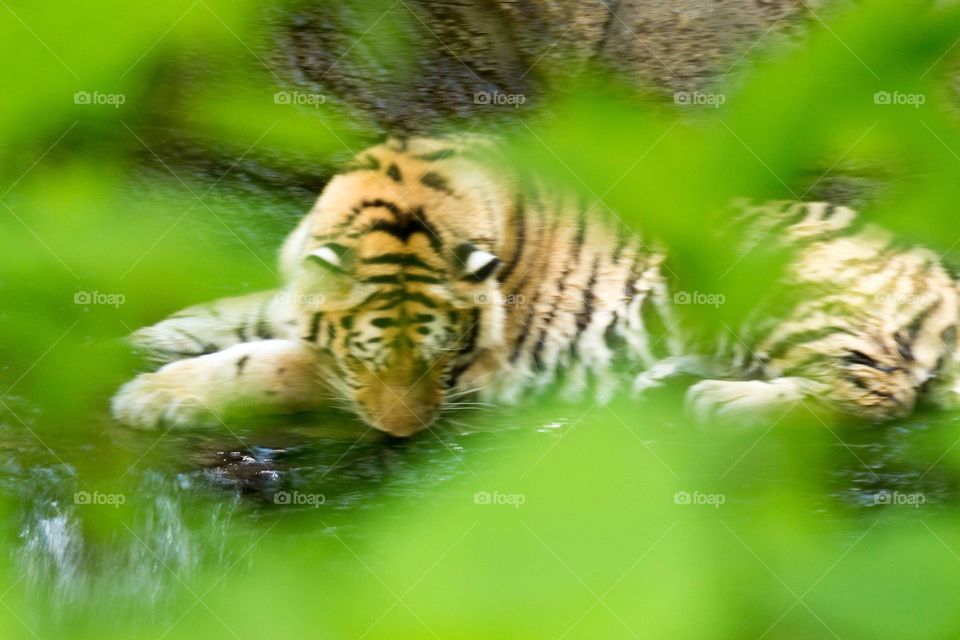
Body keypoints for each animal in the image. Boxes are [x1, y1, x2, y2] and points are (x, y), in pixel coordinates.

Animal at [112, 135, 960, 436]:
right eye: (371, 355)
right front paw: (159, 333)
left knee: (877, 390)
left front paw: (154, 395)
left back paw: (720, 403)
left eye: (442, 358)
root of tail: (936, 270)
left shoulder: (475, 372)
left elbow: (279, 364)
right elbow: (251, 311)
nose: (403, 436)